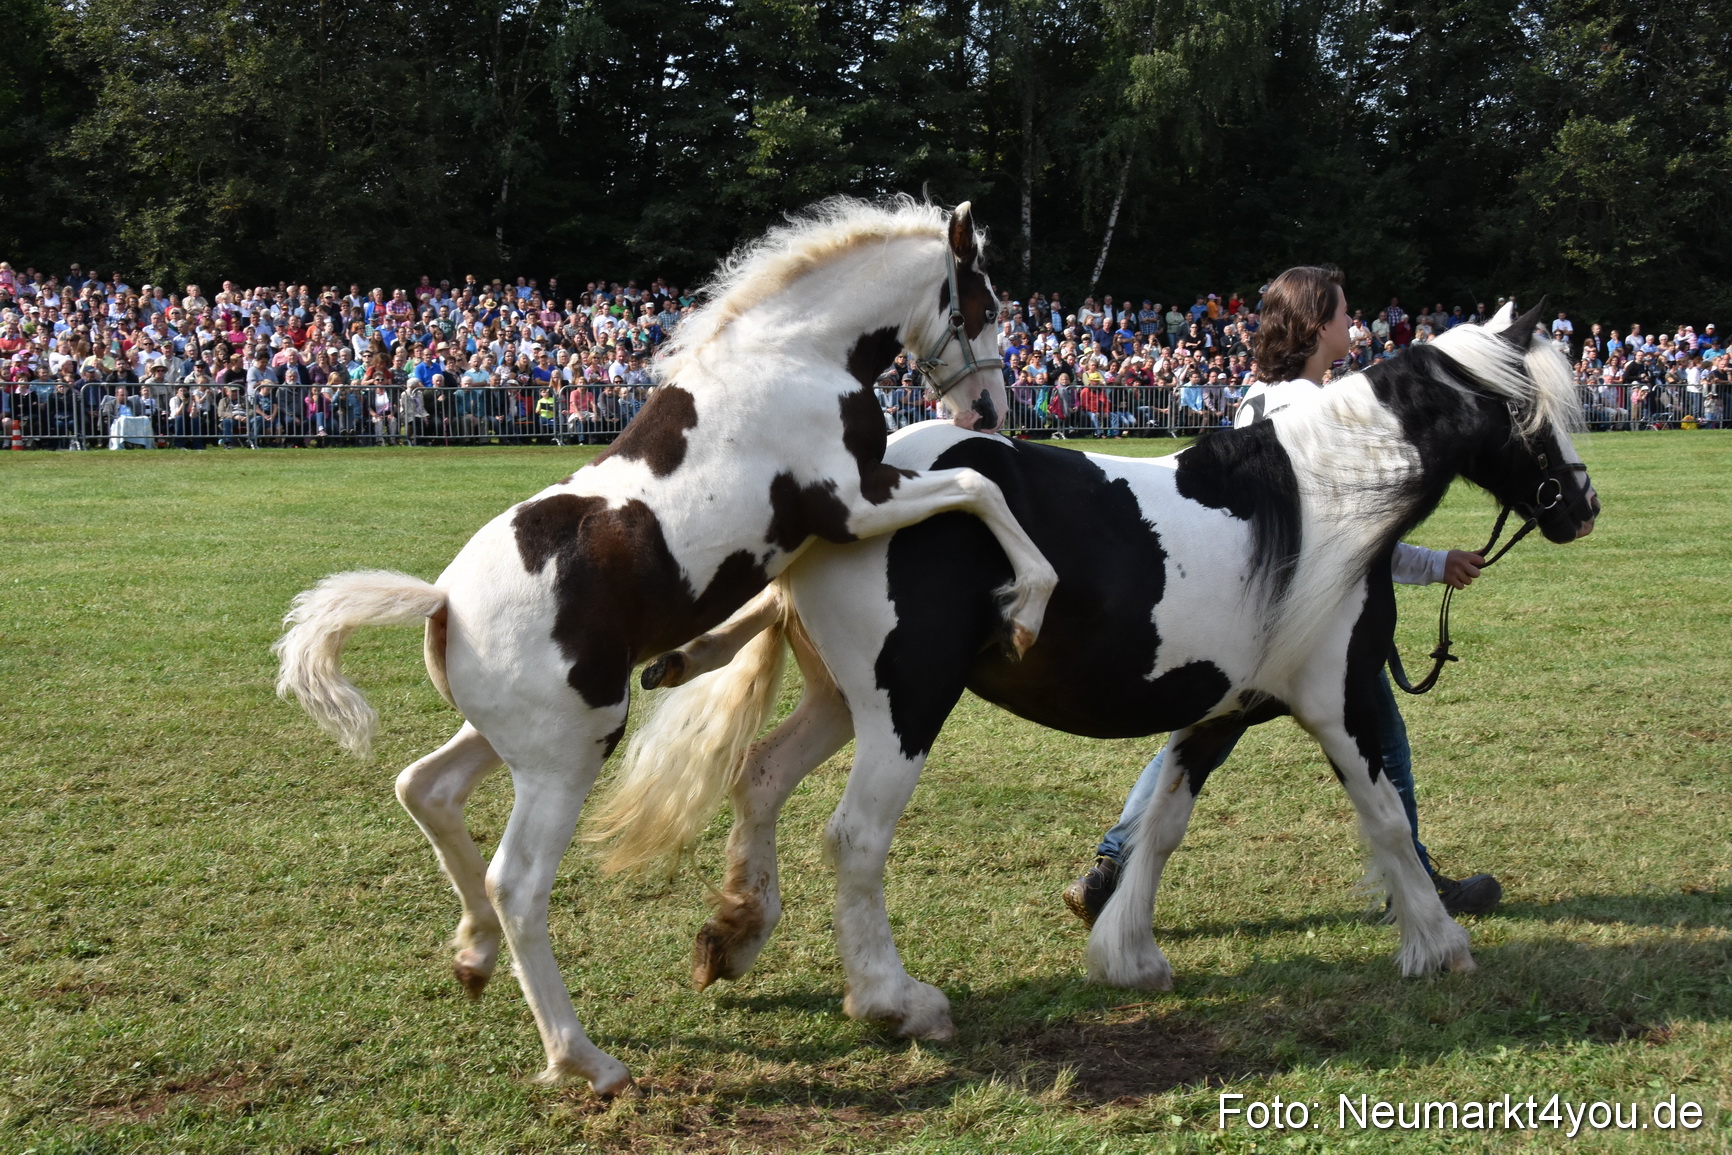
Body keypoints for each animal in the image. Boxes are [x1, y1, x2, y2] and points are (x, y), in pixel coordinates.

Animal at [273, 197, 1061, 1093]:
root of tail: (443, 605)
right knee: (519, 884)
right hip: (568, 755)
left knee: (425, 788)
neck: (791, 356)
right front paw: (1028, 603)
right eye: (986, 304)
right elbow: (978, 485)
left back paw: (473, 955)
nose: (990, 410)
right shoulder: (856, 503)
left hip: (523, 732)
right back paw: (584, 1058)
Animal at [591, 301, 1599, 1041]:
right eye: (1533, 411)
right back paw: (894, 1001)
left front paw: (1129, 953)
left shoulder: (1220, 710)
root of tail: (839, 492)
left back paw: (731, 936)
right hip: (907, 704)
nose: (1582, 506)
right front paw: (1439, 940)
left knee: (759, 778)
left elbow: (1161, 824)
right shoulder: (1338, 697)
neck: (1320, 505)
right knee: (854, 838)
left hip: (844, 699)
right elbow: (1387, 815)